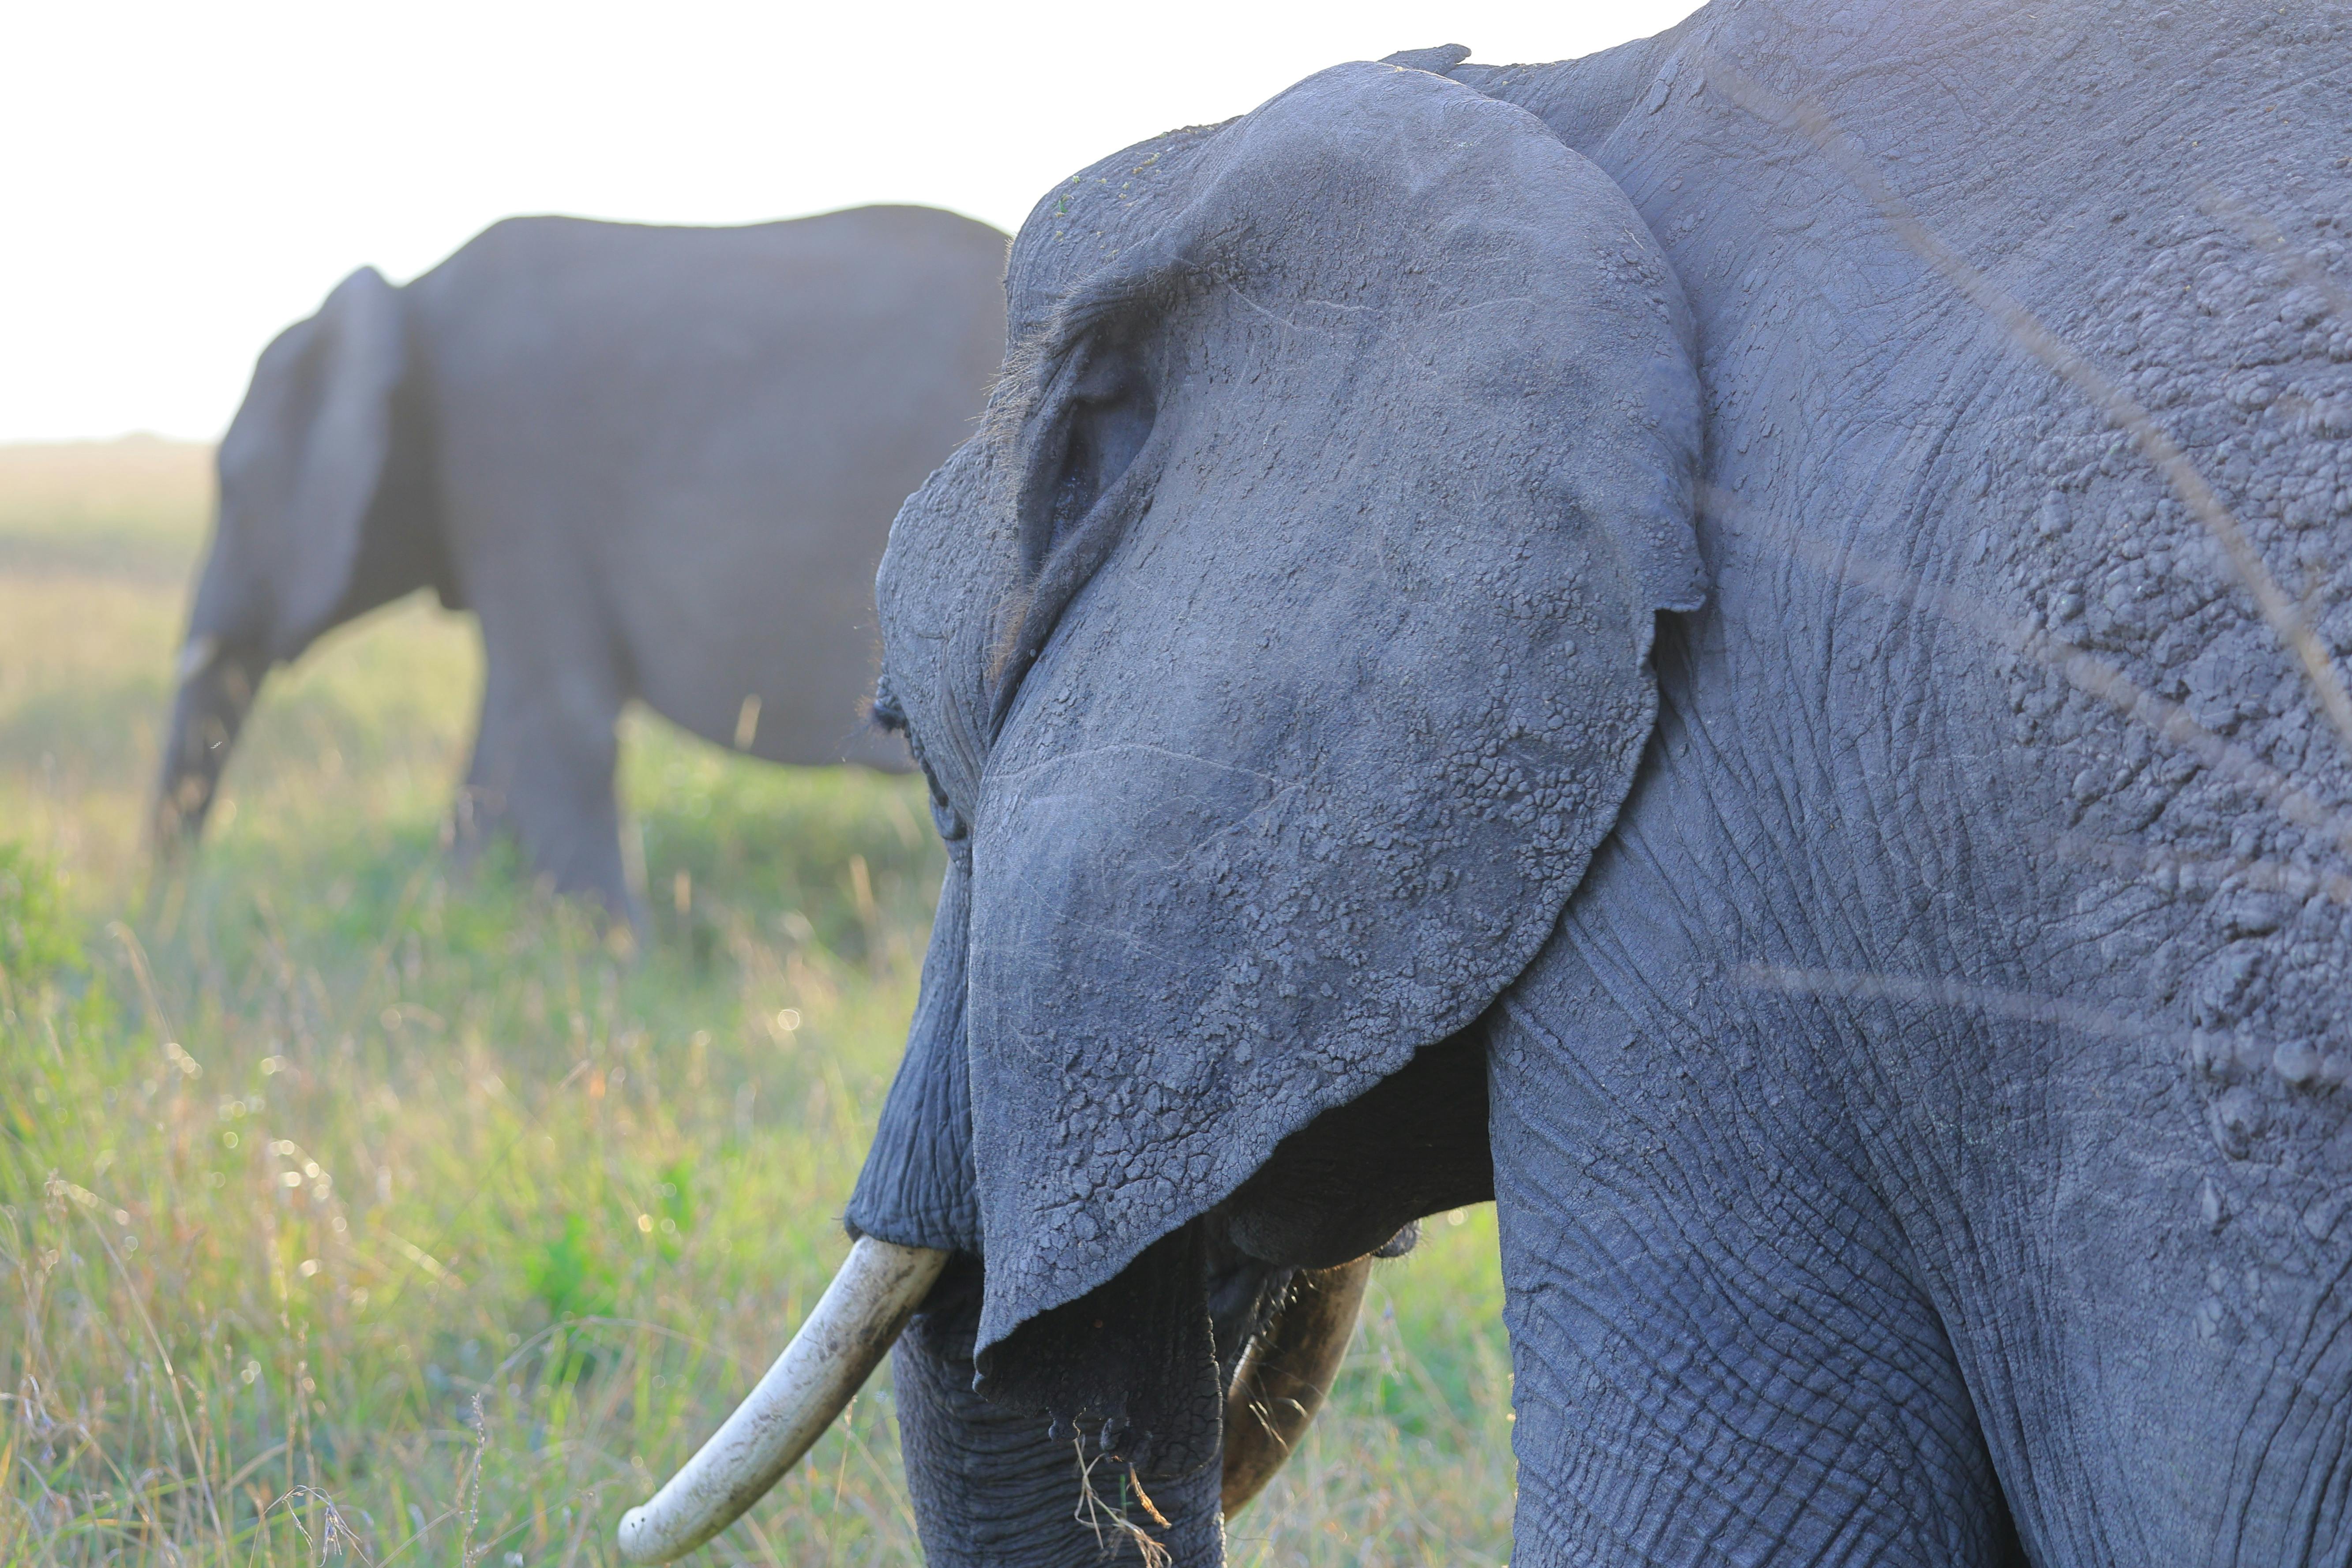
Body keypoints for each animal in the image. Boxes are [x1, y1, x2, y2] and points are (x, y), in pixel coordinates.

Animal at [156, 210, 1002, 921]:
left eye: (234, 487)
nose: (176, 902)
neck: (406, 296)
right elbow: (507, 736)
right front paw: (455, 920)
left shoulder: (512, 465)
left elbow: (559, 722)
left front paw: (618, 963)